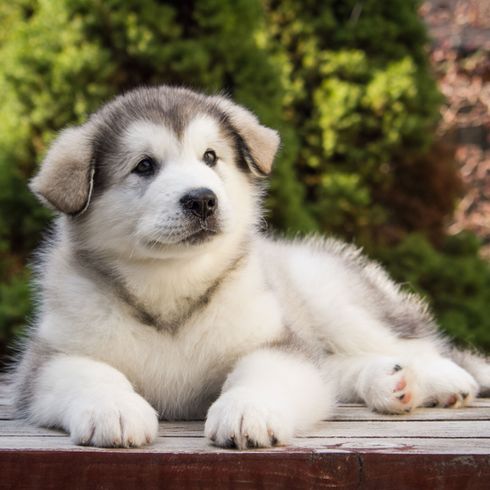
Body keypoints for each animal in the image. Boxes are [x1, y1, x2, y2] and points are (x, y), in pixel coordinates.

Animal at [11, 87, 490, 448]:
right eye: (144, 166)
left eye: (210, 157)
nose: (202, 199)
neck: (171, 283)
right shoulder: (48, 359)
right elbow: (90, 373)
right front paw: (114, 407)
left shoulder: (277, 342)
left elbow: (264, 373)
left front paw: (246, 411)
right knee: (339, 368)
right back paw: (391, 383)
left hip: (330, 296)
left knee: (412, 344)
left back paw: (441, 378)